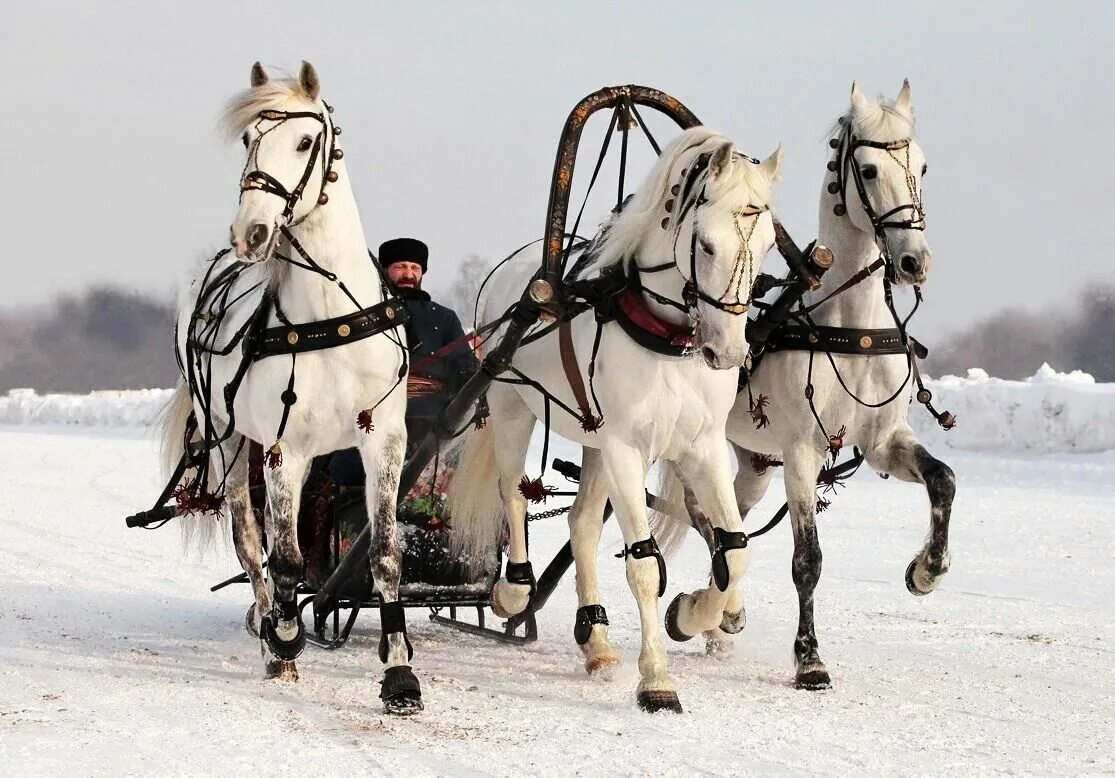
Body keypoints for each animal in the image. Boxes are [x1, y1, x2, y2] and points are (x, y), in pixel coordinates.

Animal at [157, 63, 419, 713]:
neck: (329, 318)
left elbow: (383, 552)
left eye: (305, 142)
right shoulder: (283, 451)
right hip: (227, 444)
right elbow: (288, 559)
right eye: (249, 140)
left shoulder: (384, 440)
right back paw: (271, 635)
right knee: (251, 541)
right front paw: (284, 635)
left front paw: (400, 672)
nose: (250, 231)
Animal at [446, 125, 784, 708]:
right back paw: (514, 590)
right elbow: (644, 564)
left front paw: (693, 615)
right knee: (512, 493)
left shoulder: (703, 447)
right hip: (514, 408)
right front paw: (657, 679)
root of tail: (516, 267)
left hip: (593, 436)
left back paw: (597, 641)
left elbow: (734, 550)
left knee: (581, 523)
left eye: (765, 245)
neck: (668, 340)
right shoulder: (628, 448)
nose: (728, 352)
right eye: (706, 243)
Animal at [651, 78, 954, 686]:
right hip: (703, 447)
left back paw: (719, 617)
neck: (851, 328)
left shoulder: (883, 442)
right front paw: (810, 657)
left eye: (923, 165)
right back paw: (705, 612)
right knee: (704, 518)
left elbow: (943, 480)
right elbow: (807, 559)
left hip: (754, 464)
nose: (915, 261)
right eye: (868, 170)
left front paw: (927, 570)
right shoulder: (802, 452)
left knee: (731, 521)